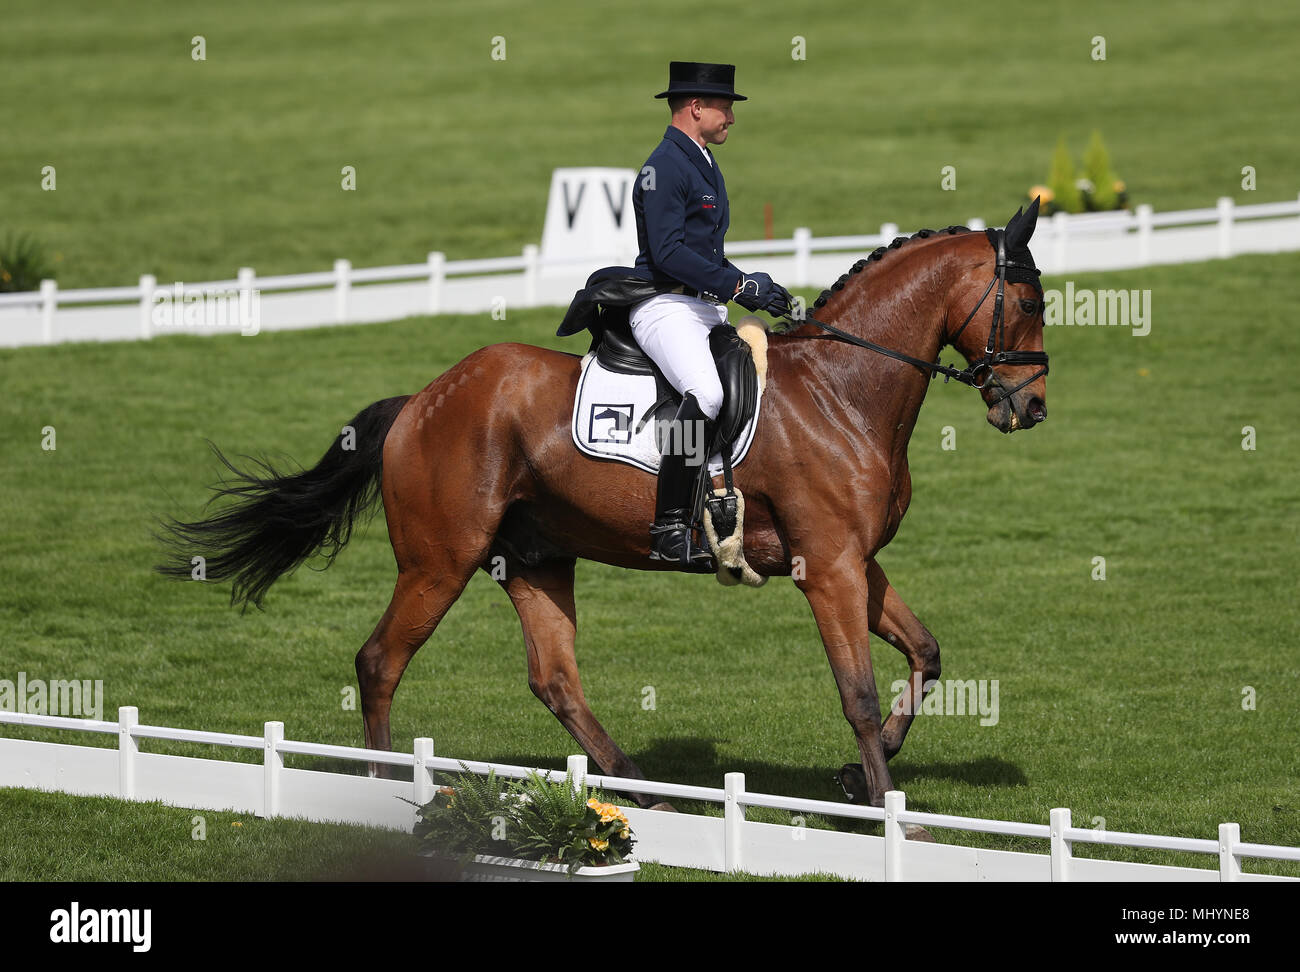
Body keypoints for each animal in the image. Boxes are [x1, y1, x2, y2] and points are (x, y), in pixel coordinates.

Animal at [159, 201, 1045, 816]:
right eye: (1031, 302)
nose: (1029, 408)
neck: (843, 390)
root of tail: (422, 400)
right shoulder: (826, 567)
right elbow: (857, 692)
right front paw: (895, 814)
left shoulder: (857, 560)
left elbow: (926, 652)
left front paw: (860, 781)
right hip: (440, 559)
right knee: (380, 663)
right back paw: (387, 791)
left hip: (536, 557)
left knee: (554, 680)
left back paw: (636, 786)